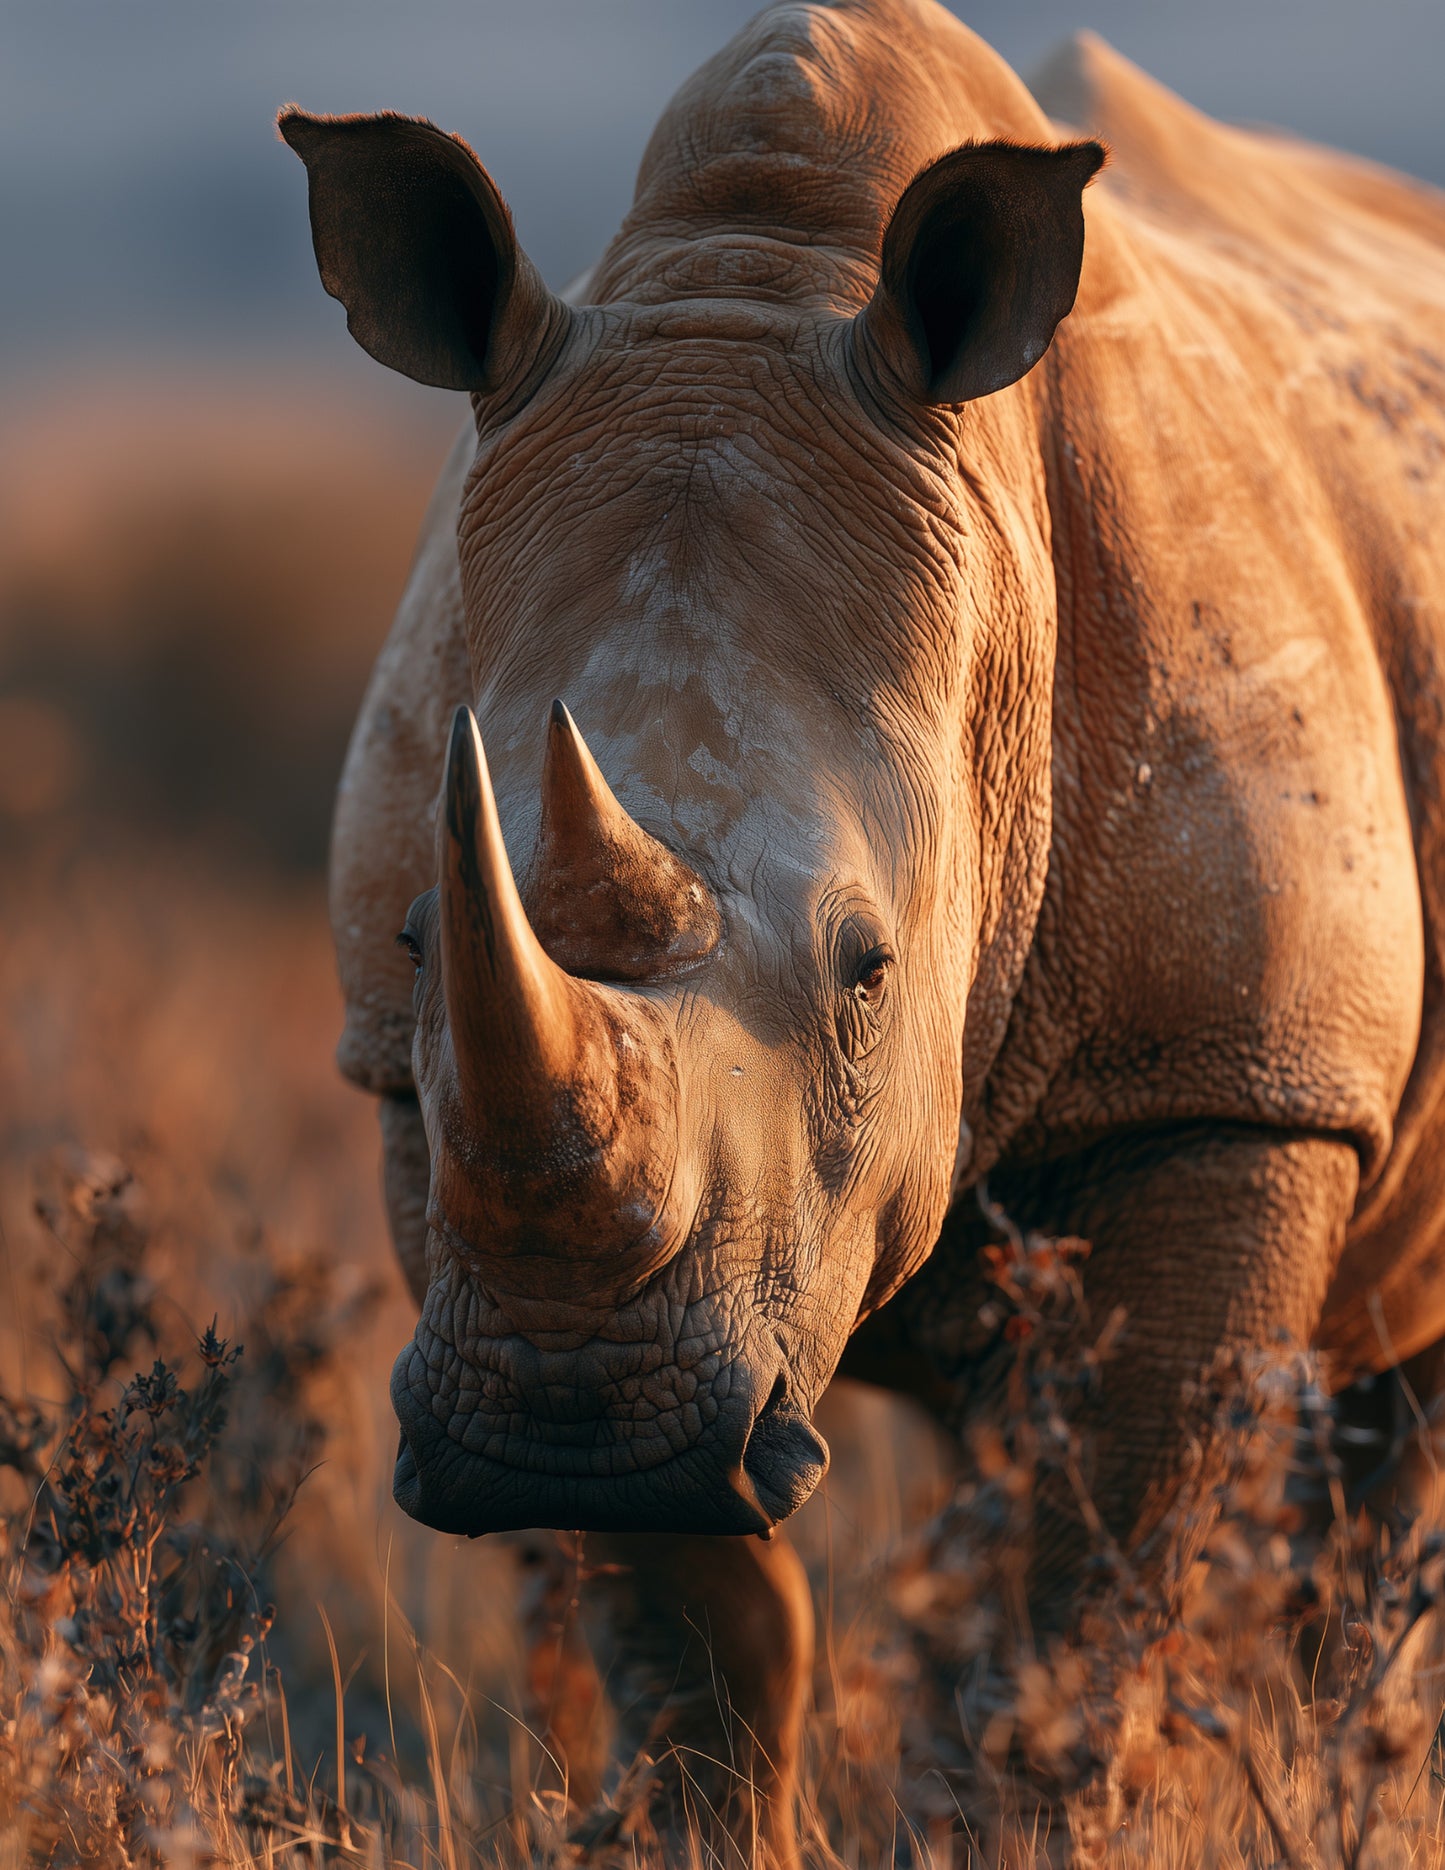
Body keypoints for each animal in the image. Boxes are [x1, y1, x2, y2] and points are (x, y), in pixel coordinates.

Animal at [283, 0, 1445, 1856]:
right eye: (412, 938)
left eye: (868, 968)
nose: (557, 1426)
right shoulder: (408, 1089)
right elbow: (704, 1617)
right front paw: (705, 1819)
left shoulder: (1233, 1079)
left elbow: (1092, 1557)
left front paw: (1024, 1822)